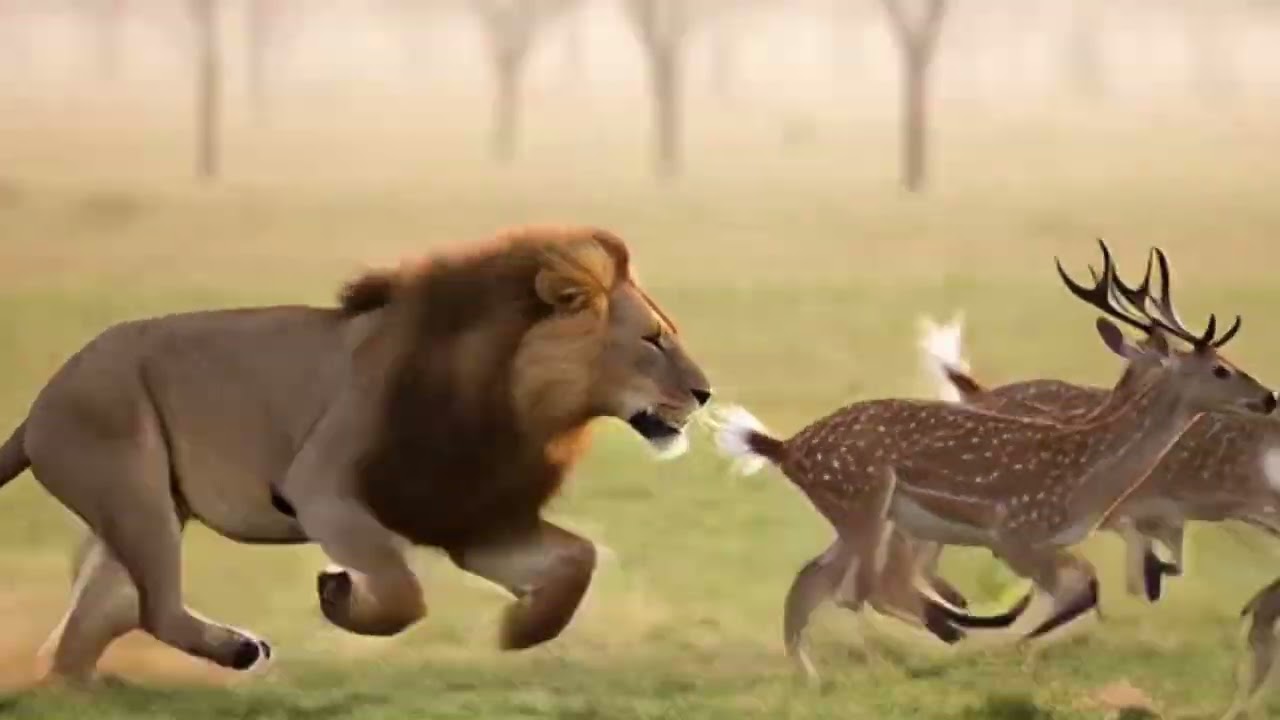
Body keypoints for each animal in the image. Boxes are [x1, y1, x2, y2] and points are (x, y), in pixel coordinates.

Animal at [0, 225, 712, 684]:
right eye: (652, 341)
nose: (705, 393)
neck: (522, 404)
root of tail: (39, 404)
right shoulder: (318, 488)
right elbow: (402, 590)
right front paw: (340, 594)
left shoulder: (474, 518)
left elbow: (577, 561)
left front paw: (519, 632)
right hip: (131, 484)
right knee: (152, 607)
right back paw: (238, 653)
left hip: (140, 510)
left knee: (98, 623)